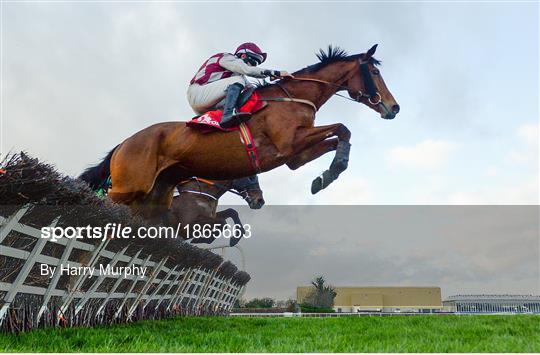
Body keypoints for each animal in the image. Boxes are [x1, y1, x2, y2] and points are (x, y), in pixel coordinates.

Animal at [81, 44, 400, 220]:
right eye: (374, 72)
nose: (394, 107)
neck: (294, 96)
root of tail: (125, 142)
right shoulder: (289, 144)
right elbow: (343, 128)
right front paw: (330, 173)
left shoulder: (295, 157)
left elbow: (341, 136)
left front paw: (324, 177)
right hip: (128, 187)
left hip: (154, 199)